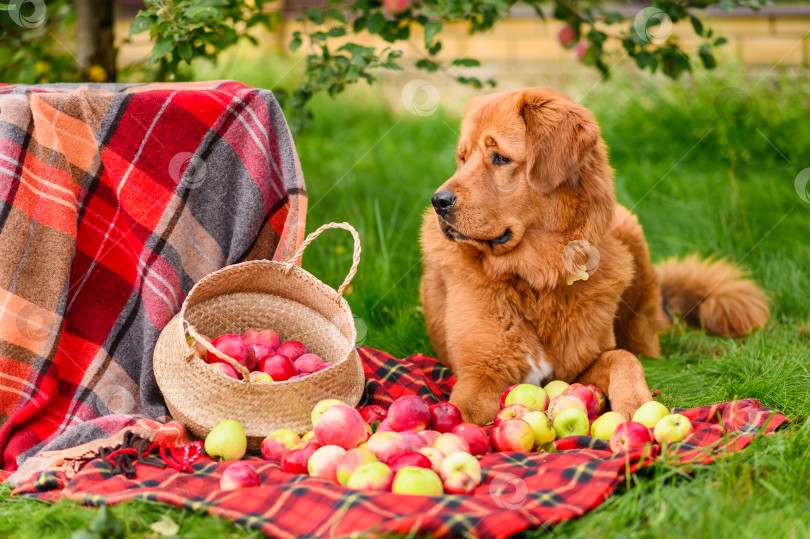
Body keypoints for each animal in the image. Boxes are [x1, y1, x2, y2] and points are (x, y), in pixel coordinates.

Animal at [420, 87, 768, 426]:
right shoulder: (481, 372)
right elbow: (459, 412)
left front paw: (636, 406)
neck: (537, 278)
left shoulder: (581, 365)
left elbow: (623, 358)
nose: (439, 201)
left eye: (501, 158)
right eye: (462, 158)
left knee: (644, 345)